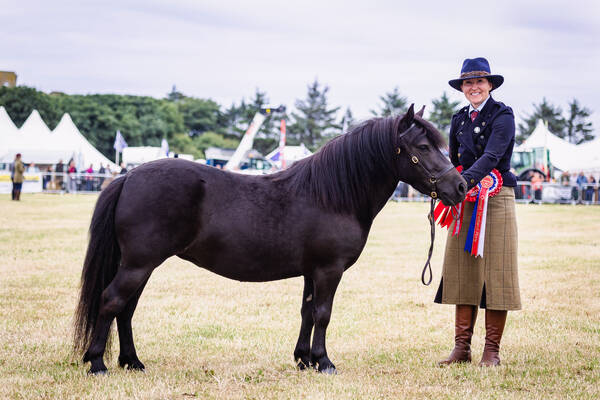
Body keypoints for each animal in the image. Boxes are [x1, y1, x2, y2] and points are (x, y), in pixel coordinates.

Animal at [75, 104, 466, 376]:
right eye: (423, 146)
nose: (460, 187)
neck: (331, 195)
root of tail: (128, 176)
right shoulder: (329, 270)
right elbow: (323, 313)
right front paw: (324, 362)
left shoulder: (312, 271)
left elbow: (307, 312)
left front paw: (304, 360)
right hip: (139, 264)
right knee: (111, 302)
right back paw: (98, 364)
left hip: (141, 265)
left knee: (126, 309)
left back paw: (132, 362)